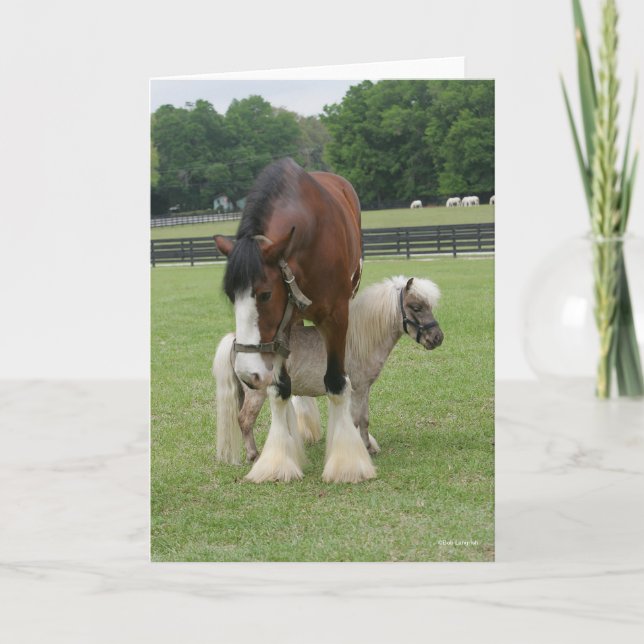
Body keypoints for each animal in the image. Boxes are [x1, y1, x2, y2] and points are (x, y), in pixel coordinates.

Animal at [214, 158, 371, 483]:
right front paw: (279, 459)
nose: (246, 373)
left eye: (264, 294)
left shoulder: (337, 317)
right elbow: (281, 387)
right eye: (231, 295)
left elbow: (336, 381)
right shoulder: (283, 325)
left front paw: (346, 461)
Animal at [214, 276, 444, 465]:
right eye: (416, 306)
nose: (437, 338)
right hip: (256, 393)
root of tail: (236, 340)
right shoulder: (357, 389)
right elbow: (356, 420)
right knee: (245, 420)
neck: (357, 340)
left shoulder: (364, 388)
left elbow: (364, 419)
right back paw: (254, 456)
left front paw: (368, 447)